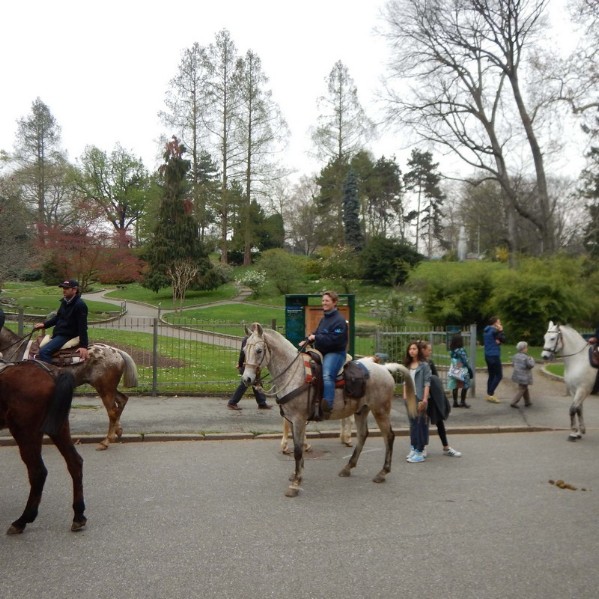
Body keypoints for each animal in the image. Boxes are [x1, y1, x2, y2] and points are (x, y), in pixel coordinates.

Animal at [0, 327, 138, 450]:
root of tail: (117, 351)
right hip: (109, 387)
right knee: (122, 400)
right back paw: (118, 430)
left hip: (104, 388)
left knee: (112, 411)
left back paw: (106, 441)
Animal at [0, 360, 86, 534]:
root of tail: (51, 373)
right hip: (59, 427)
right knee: (75, 462)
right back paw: (78, 515)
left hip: (25, 431)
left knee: (38, 472)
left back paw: (23, 520)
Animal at [241, 324, 417, 497]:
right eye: (244, 350)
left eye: (259, 350)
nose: (246, 379)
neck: (294, 373)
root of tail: (385, 368)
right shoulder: (292, 419)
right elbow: (298, 445)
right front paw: (298, 474)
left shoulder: (298, 419)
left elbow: (297, 450)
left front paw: (295, 483)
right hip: (362, 410)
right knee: (362, 435)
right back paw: (348, 467)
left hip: (380, 410)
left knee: (389, 436)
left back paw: (382, 472)